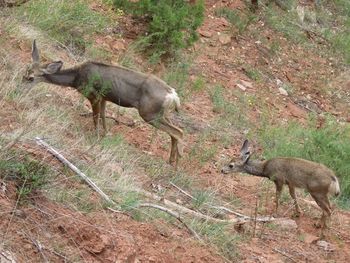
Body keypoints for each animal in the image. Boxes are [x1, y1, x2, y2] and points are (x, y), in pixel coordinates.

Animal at [23, 39, 185, 167]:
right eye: (25, 72)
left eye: (31, 78)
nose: (20, 88)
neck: (75, 78)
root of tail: (173, 95)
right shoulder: (104, 98)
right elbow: (103, 117)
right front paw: (105, 135)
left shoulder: (93, 95)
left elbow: (95, 117)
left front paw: (95, 136)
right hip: (160, 113)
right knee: (175, 131)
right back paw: (174, 161)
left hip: (149, 113)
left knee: (178, 132)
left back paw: (175, 163)